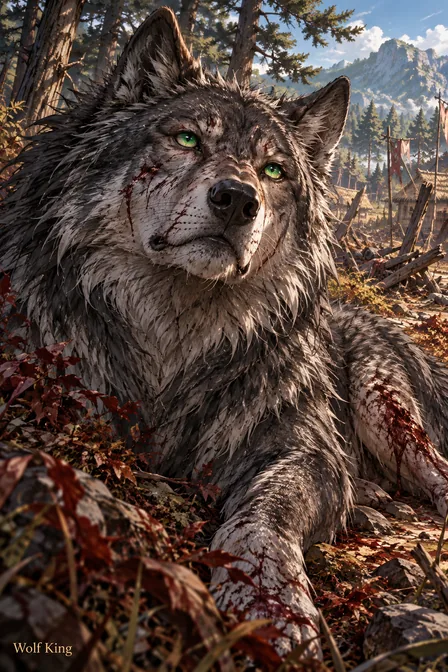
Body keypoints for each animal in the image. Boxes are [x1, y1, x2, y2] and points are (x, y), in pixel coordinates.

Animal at [1, 7, 448, 658]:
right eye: (188, 139)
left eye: (273, 170)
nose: (238, 200)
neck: (174, 339)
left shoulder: (304, 449)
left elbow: (264, 516)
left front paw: (271, 601)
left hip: (385, 409)